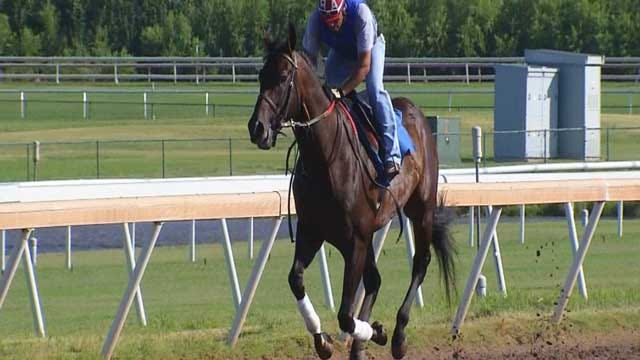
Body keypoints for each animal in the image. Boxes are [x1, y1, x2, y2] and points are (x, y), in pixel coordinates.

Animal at [246, 23, 456, 358]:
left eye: (282, 77)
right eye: (260, 75)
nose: (257, 128)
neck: (325, 157)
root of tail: (415, 111)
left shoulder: (355, 240)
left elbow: (345, 314)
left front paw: (377, 332)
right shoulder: (313, 230)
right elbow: (296, 280)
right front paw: (324, 340)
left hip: (420, 209)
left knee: (419, 264)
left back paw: (397, 334)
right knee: (375, 280)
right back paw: (361, 344)